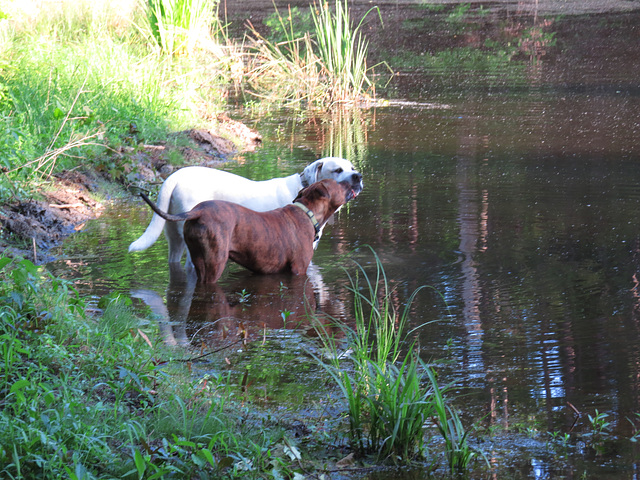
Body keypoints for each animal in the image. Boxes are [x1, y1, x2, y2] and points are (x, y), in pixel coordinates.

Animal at [129, 159, 364, 268]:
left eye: (352, 167)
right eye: (338, 170)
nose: (358, 176)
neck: (306, 192)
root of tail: (175, 176)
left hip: (173, 236)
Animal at [140, 178, 358, 284]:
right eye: (339, 182)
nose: (354, 180)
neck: (307, 211)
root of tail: (197, 211)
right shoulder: (299, 269)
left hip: (198, 258)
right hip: (215, 262)